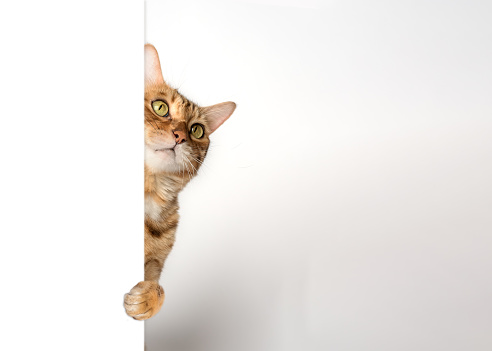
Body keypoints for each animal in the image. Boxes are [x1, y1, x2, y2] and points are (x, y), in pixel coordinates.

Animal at [125, 44, 236, 322]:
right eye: (160, 107)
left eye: (196, 130)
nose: (180, 137)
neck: (150, 196)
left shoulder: (154, 265)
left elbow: (160, 288)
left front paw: (147, 298)